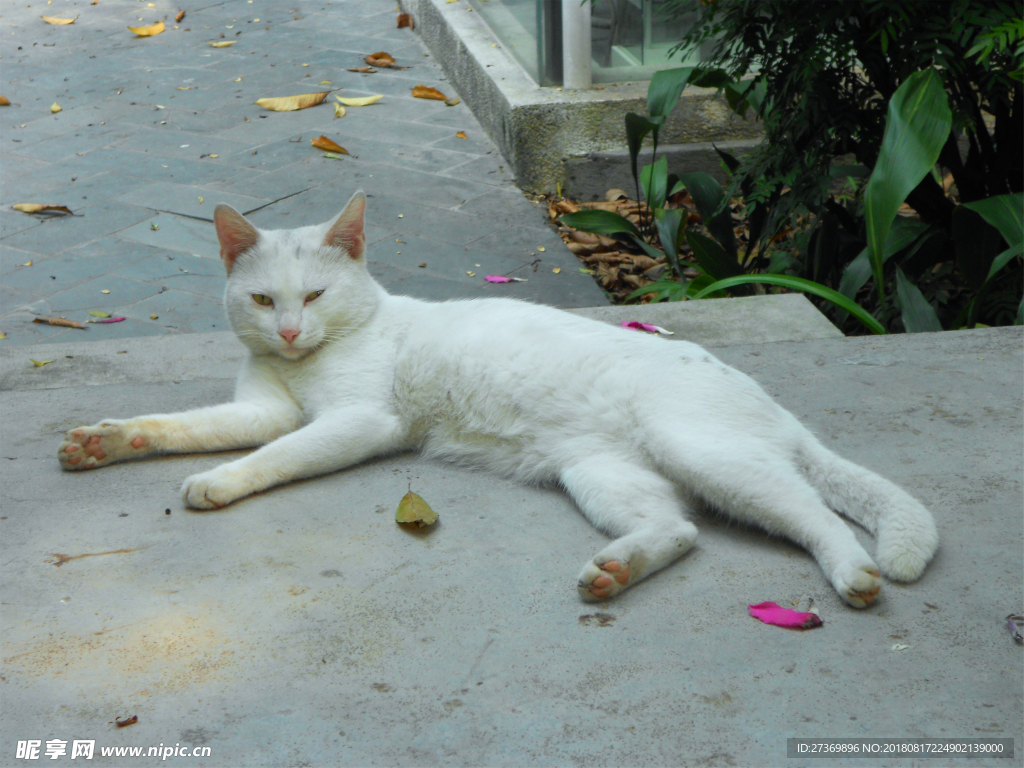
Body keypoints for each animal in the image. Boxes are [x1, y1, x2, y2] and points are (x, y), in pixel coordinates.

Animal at [56, 191, 937, 606]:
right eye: (265, 302)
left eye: (314, 295)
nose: (294, 332)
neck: (305, 368)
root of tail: (773, 406)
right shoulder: (261, 408)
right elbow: (184, 425)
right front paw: (106, 440)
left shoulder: (358, 420)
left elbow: (275, 453)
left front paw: (219, 482)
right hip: (602, 475)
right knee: (681, 531)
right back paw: (613, 571)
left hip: (708, 453)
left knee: (816, 514)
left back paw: (855, 575)